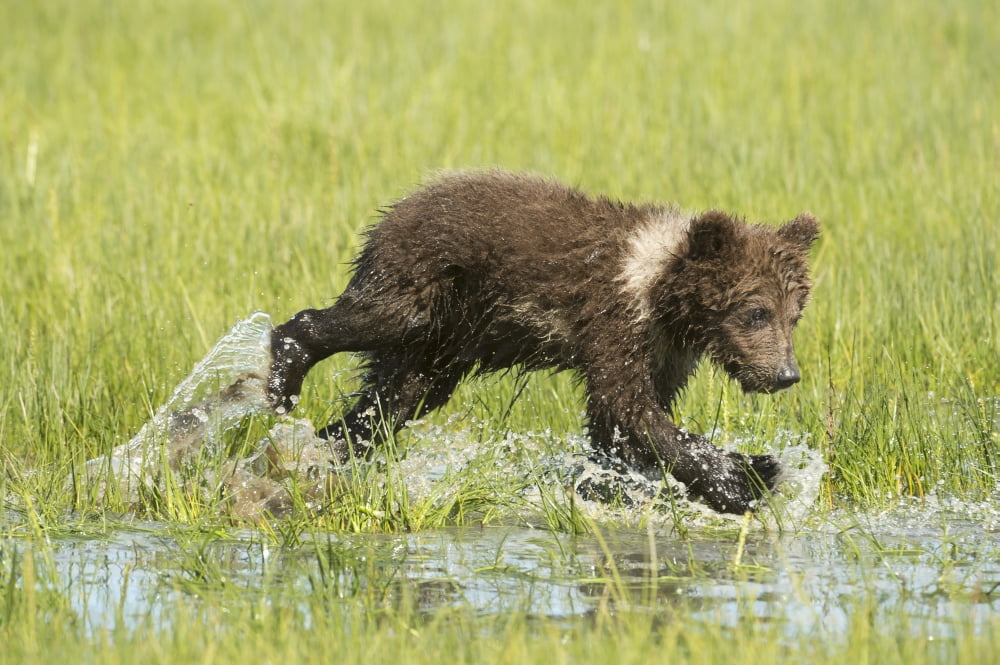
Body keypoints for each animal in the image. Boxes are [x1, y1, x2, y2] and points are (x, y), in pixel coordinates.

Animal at [267, 170, 819, 514]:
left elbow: (619, 426)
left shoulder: (663, 349)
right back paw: (284, 376)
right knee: (372, 320)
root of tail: (399, 205)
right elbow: (631, 409)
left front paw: (615, 486)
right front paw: (746, 476)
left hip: (446, 340)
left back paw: (330, 447)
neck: (660, 292)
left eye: (794, 316)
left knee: (398, 396)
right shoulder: (615, 320)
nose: (785, 375)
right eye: (755, 312)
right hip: (426, 284)